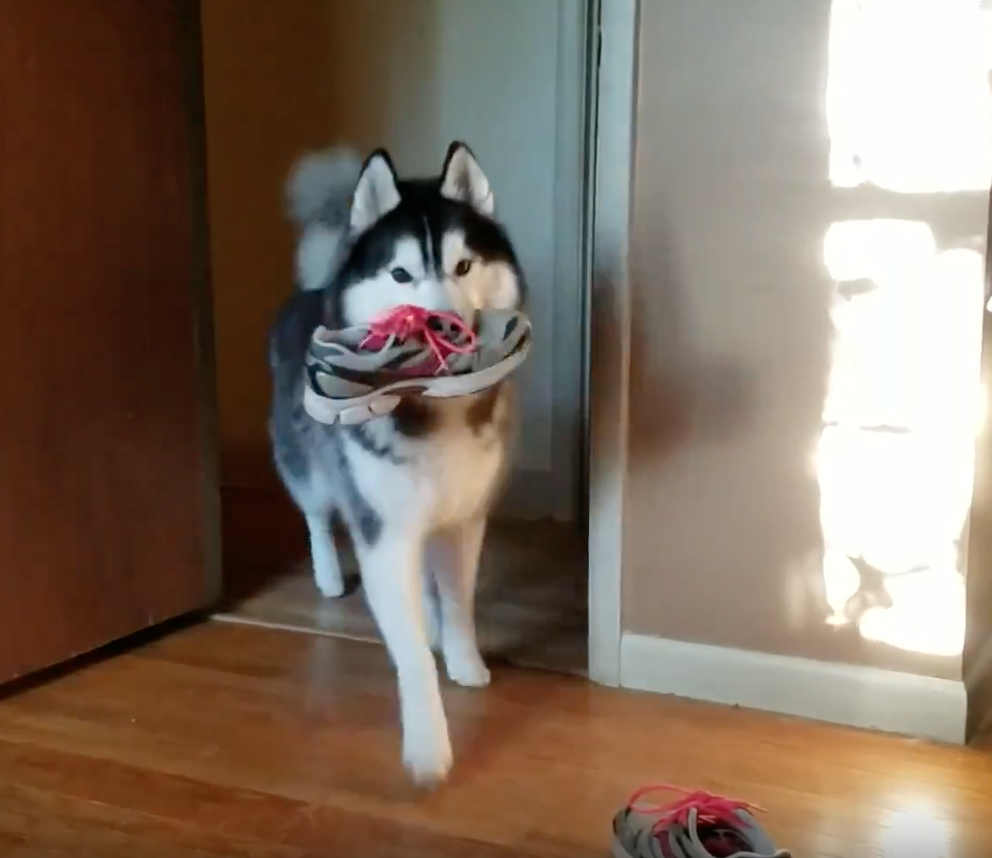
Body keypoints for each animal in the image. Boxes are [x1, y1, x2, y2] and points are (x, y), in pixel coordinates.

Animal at [264, 142, 528, 784]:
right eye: (401, 275)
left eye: (463, 267)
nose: (443, 326)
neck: (434, 409)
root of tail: (313, 286)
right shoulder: (385, 535)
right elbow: (409, 651)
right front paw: (429, 747)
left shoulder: (463, 520)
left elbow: (457, 601)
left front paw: (463, 659)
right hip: (311, 472)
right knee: (317, 516)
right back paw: (330, 575)